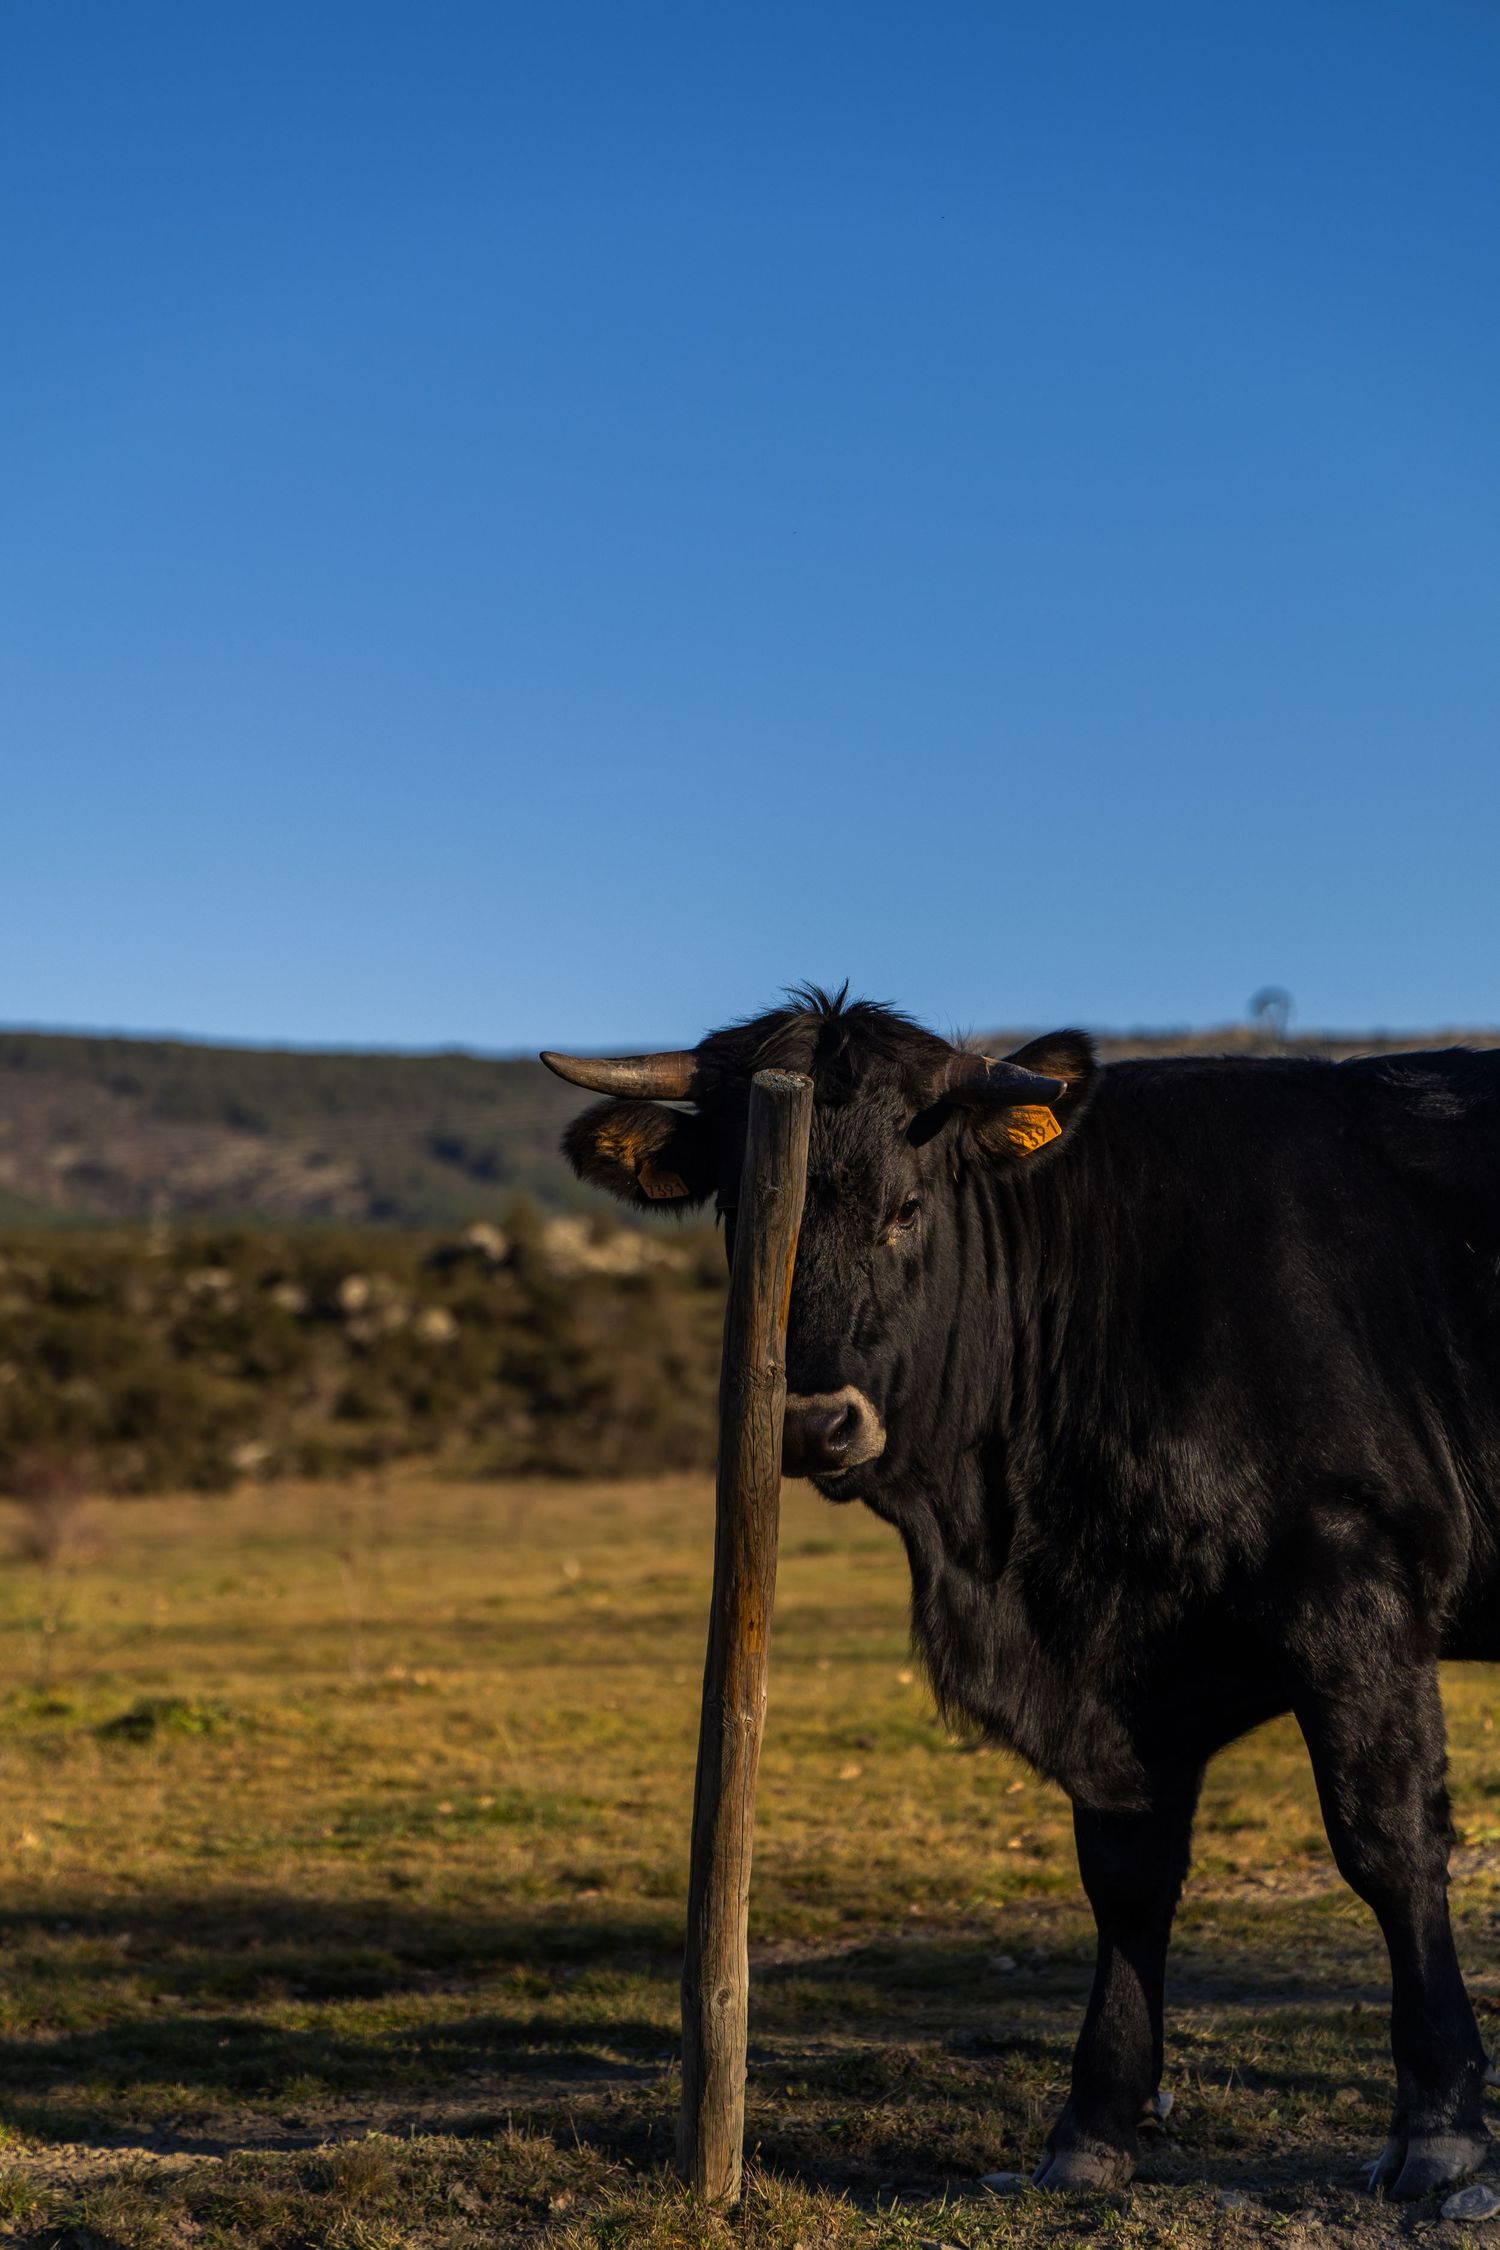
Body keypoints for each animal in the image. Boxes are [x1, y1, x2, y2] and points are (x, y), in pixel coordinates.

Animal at [541, 986, 1500, 2198]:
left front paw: (1440, 2125)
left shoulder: (1354, 1589)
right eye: (746, 1217)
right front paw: (1093, 2125)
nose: (811, 1423)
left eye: (908, 1210)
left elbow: (1388, 1844)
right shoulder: (1125, 1671)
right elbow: (1127, 1877)